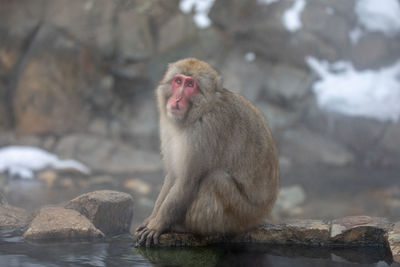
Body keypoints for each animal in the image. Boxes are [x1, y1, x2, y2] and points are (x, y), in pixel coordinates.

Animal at [136, 57, 280, 248]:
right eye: (178, 81)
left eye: (190, 84)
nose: (177, 99)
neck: (201, 110)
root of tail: (263, 214)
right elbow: (173, 176)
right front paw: (151, 218)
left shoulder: (205, 130)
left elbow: (187, 181)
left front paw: (158, 224)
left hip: (243, 215)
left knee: (216, 180)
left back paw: (185, 227)